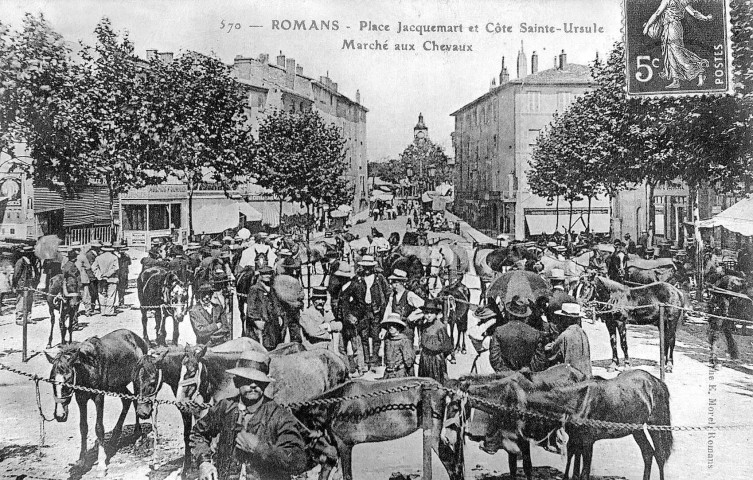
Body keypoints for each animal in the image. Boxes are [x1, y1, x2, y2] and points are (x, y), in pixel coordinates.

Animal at [45, 328, 147, 470]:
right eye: (51, 380)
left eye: (69, 380)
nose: (60, 415)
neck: (88, 368)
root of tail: (138, 339)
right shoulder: (81, 399)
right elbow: (83, 427)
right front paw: (82, 460)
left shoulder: (99, 397)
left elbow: (99, 427)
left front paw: (102, 461)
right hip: (118, 385)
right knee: (127, 400)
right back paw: (114, 438)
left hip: (136, 380)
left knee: (137, 400)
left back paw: (137, 435)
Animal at [290, 378, 462, 480]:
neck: (334, 407)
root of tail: (442, 388)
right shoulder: (332, 450)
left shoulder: (344, 445)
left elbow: (347, 475)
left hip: (433, 434)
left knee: (449, 460)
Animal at [446, 364, 588, 480]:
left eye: (455, 407)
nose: (447, 437)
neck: (505, 396)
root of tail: (578, 371)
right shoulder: (509, 439)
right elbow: (512, 468)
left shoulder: (523, 439)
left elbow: (527, 467)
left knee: (577, 451)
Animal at [484, 370, 672, 478]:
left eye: (507, 414)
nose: (486, 444)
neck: (576, 401)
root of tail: (656, 381)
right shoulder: (576, 440)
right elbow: (573, 471)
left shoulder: (588, 442)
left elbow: (583, 473)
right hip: (636, 429)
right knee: (648, 454)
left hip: (656, 425)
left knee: (660, 455)